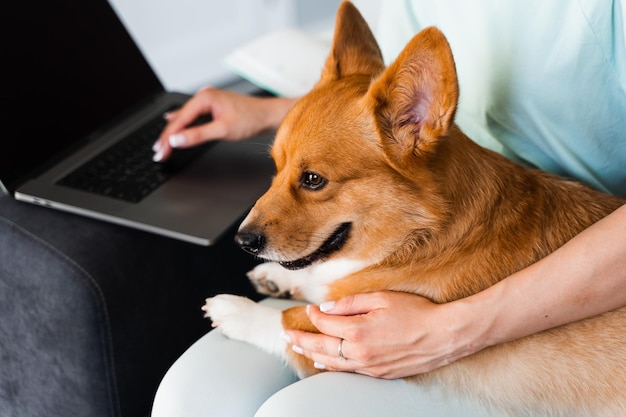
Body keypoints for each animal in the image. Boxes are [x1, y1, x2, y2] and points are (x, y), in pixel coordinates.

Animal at [202, 1, 620, 414]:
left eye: (313, 179)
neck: (420, 236)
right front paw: (278, 278)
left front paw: (238, 310)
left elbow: (292, 319)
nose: (242, 241)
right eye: (275, 167)